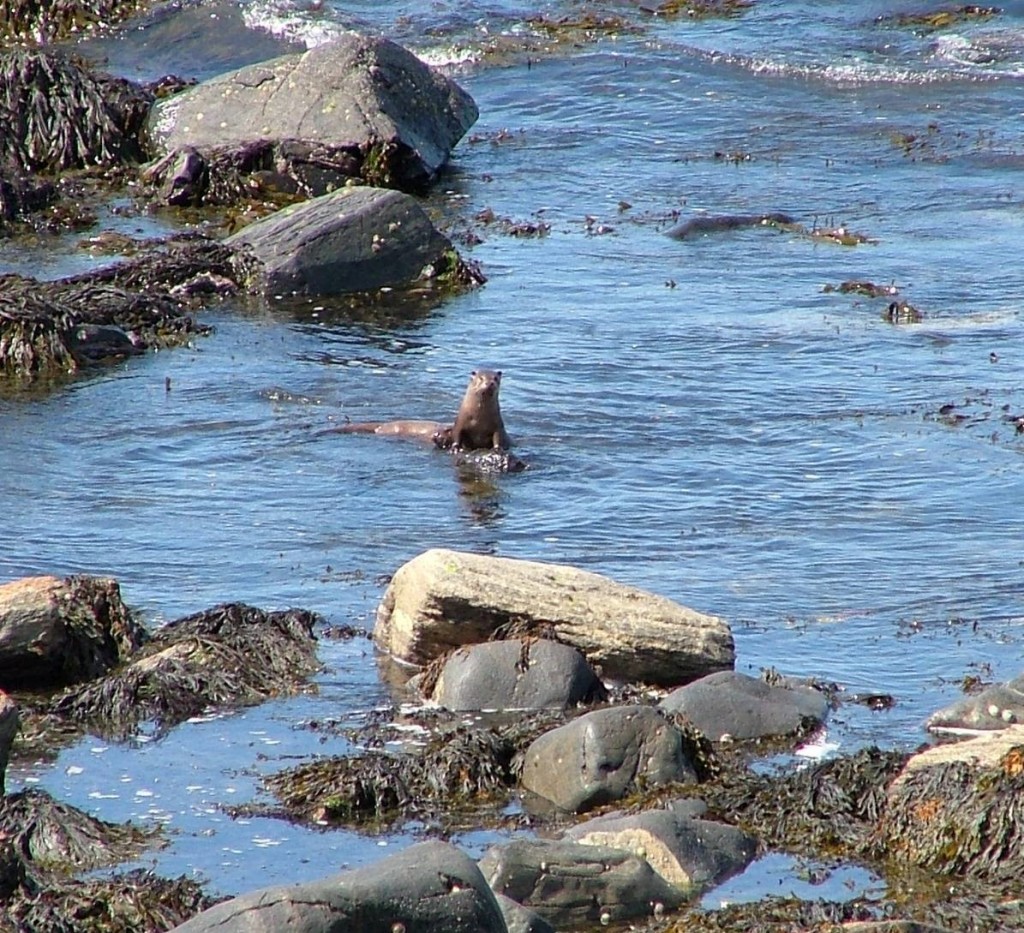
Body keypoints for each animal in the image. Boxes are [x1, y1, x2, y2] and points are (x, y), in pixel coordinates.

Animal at [338, 369, 511, 451]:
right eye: (481, 378)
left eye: (496, 378)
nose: (490, 383)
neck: (478, 417)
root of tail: (382, 425)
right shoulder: (460, 423)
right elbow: (457, 436)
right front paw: (456, 448)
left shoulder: (497, 425)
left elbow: (497, 438)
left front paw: (498, 450)